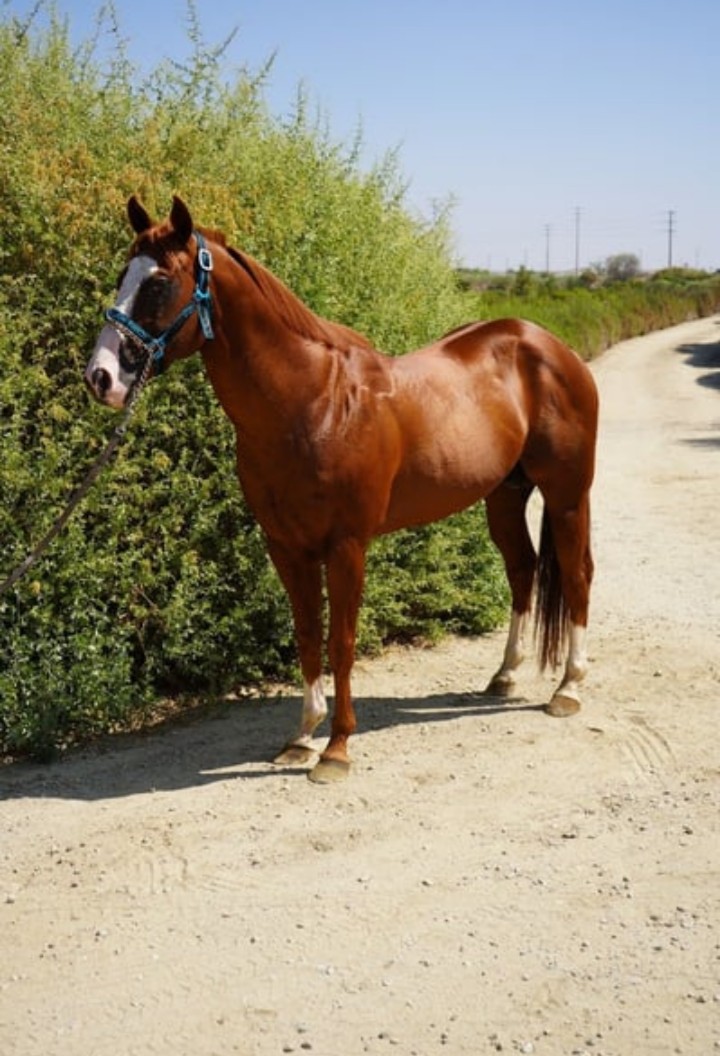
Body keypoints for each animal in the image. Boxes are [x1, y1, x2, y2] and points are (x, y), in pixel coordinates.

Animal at [85, 196, 598, 783]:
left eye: (159, 284)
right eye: (123, 276)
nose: (100, 377)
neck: (312, 404)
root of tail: (548, 344)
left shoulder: (347, 545)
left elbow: (341, 640)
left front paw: (336, 749)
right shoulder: (286, 546)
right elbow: (307, 635)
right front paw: (301, 738)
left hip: (567, 494)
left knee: (576, 572)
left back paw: (569, 688)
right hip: (505, 495)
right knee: (522, 569)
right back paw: (505, 676)